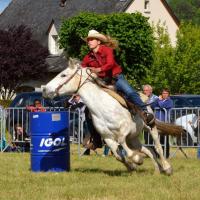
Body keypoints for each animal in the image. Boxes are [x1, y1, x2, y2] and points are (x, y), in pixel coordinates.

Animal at [43, 57, 181, 175]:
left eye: (63, 75)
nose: (44, 89)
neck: (102, 107)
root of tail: (144, 98)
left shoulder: (124, 129)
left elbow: (122, 143)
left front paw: (137, 159)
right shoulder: (108, 138)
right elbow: (118, 156)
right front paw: (133, 165)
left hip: (149, 127)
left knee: (157, 146)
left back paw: (167, 168)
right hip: (133, 138)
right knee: (148, 150)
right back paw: (158, 170)